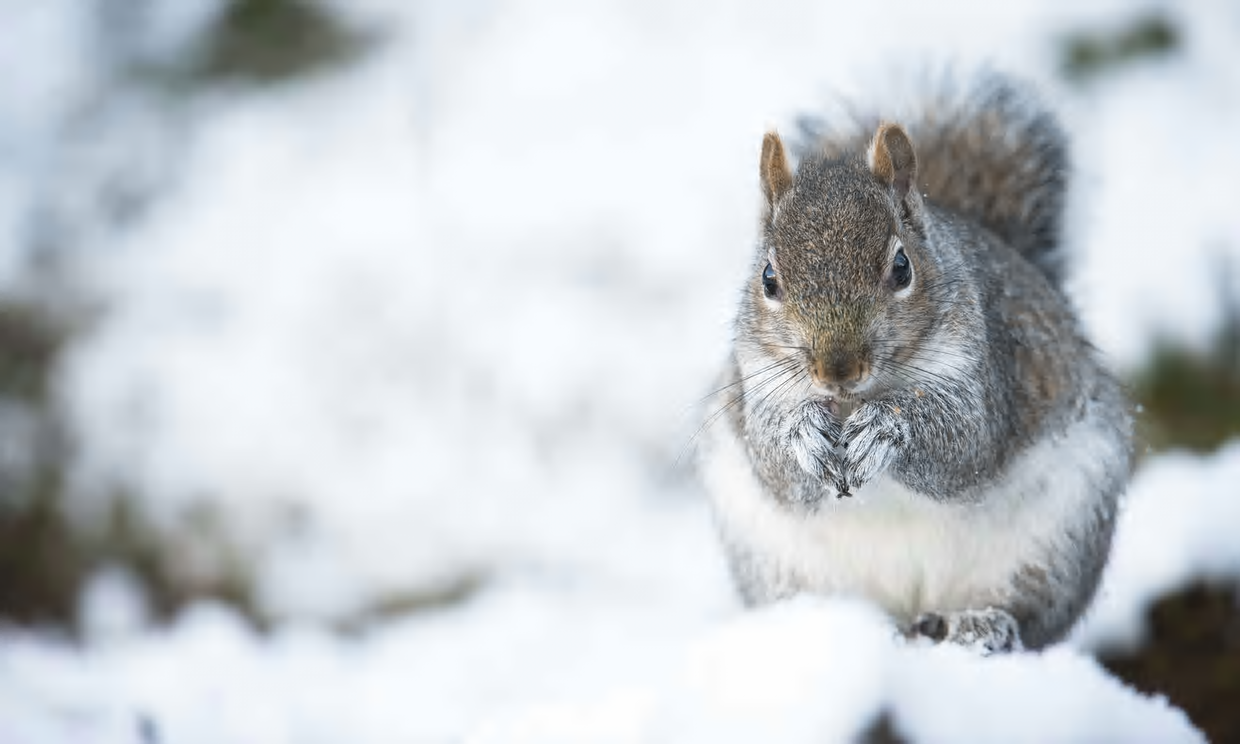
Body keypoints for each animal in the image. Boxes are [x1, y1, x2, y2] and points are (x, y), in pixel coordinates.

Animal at [698, 72, 1133, 653]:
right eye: (769, 279)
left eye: (902, 267)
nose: (837, 369)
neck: (854, 400)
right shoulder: (756, 383)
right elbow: (773, 464)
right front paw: (802, 433)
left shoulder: (987, 368)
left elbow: (966, 443)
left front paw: (886, 429)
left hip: (1058, 542)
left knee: (1027, 615)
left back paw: (980, 624)